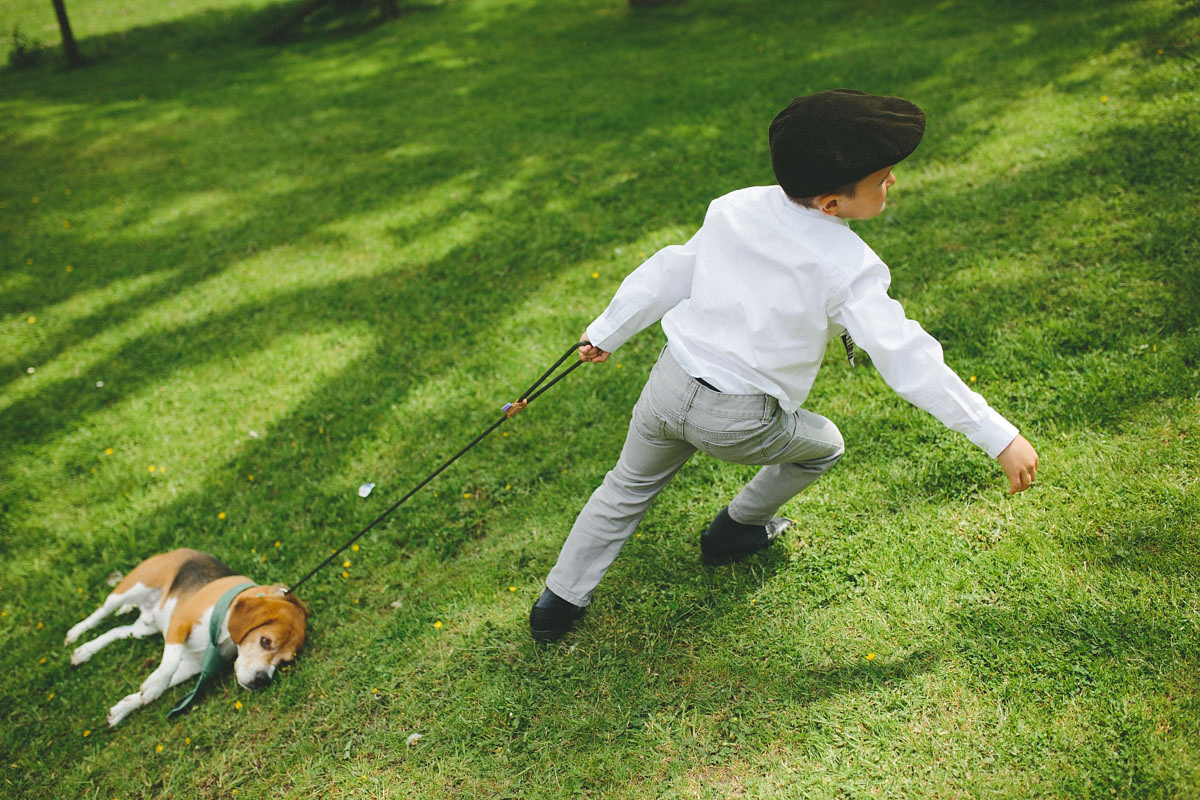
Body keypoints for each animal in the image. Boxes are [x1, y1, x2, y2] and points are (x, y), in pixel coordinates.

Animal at [65, 551, 309, 724]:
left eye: (284, 662)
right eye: (265, 641)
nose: (262, 680)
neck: (221, 632)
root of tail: (174, 551)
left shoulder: (194, 665)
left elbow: (165, 681)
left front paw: (125, 707)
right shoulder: (180, 623)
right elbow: (169, 662)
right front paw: (153, 686)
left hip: (142, 629)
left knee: (114, 632)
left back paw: (85, 651)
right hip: (130, 589)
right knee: (101, 612)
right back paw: (75, 633)